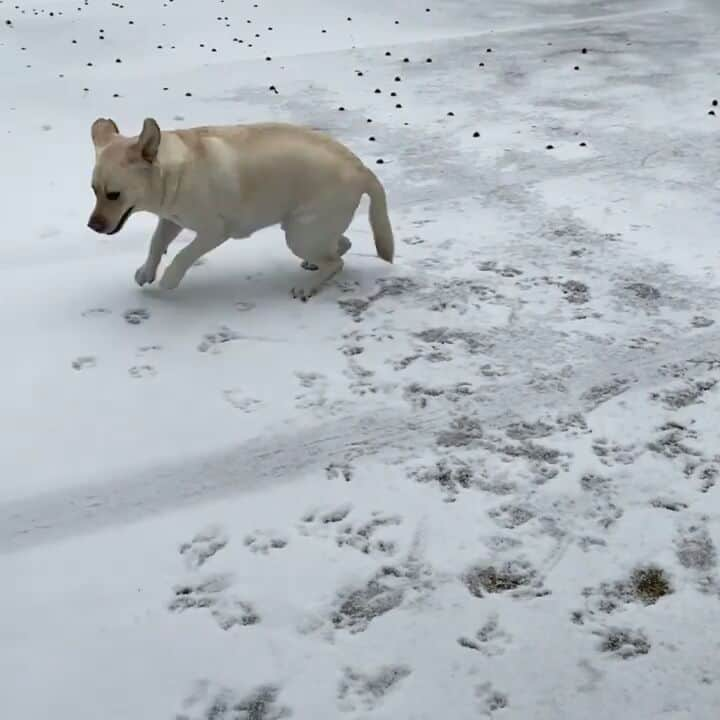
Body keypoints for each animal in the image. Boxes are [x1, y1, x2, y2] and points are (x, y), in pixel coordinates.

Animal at [87, 118, 396, 298]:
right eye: (93, 190)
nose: (92, 226)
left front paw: (169, 279)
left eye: (113, 195)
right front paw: (147, 271)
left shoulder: (214, 232)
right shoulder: (171, 218)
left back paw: (308, 285)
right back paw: (314, 265)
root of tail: (363, 169)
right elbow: (155, 243)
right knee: (341, 245)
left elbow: (184, 255)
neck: (174, 172)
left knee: (336, 261)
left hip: (300, 234)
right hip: (306, 228)